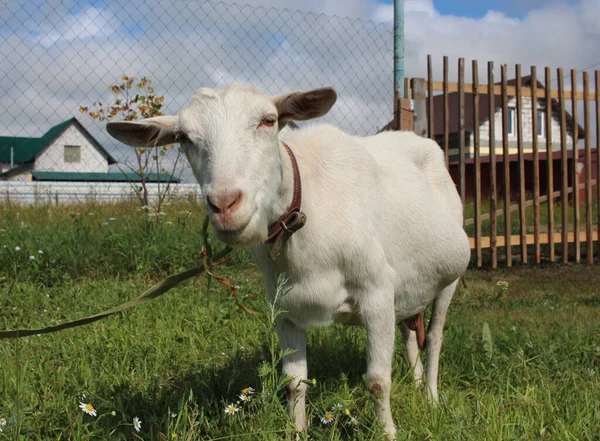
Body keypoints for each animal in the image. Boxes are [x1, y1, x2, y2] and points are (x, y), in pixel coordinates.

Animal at [108, 84, 474, 438]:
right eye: (184, 137)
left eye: (269, 121)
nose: (225, 204)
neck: (307, 205)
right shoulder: (285, 310)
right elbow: (294, 384)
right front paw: (297, 431)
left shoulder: (378, 294)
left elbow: (376, 381)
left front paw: (387, 433)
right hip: (409, 287)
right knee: (411, 331)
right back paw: (414, 382)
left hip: (449, 279)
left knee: (435, 337)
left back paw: (430, 397)